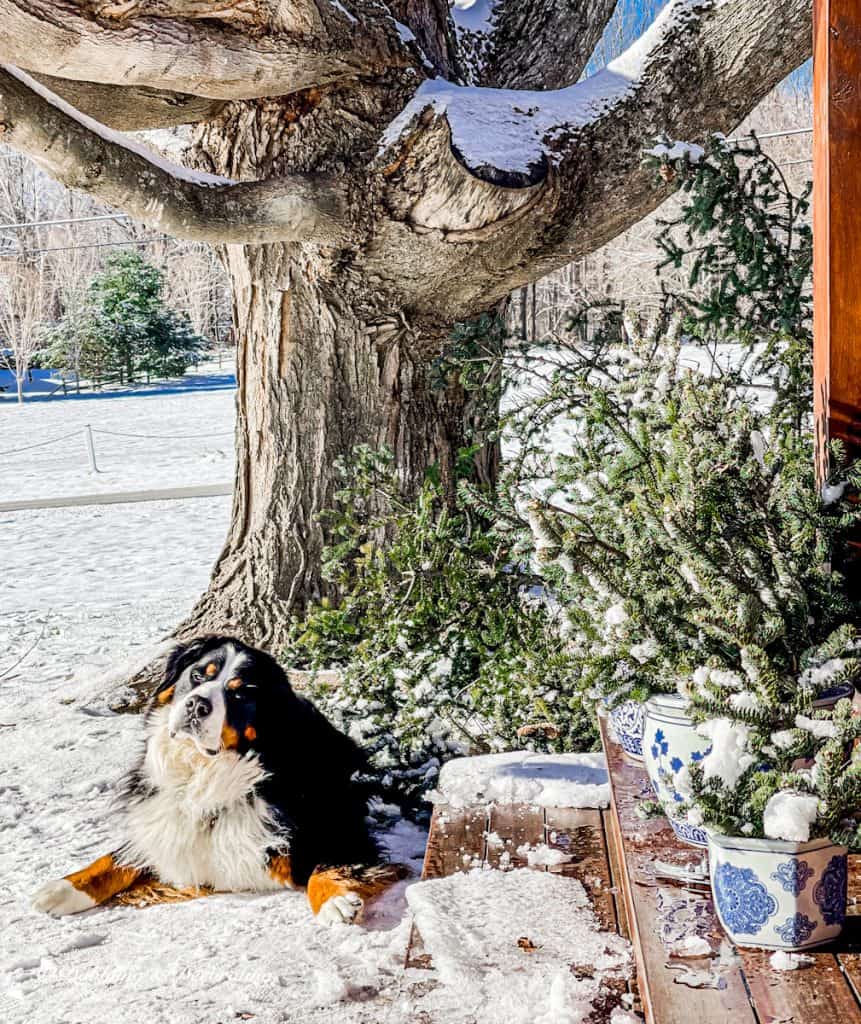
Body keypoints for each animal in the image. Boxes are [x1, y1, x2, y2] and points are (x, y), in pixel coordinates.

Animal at [31, 634, 407, 925]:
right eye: (199, 675)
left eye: (240, 693)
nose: (196, 705)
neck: (203, 771)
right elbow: (119, 855)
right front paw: (65, 888)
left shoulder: (339, 831)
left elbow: (329, 865)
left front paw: (335, 901)